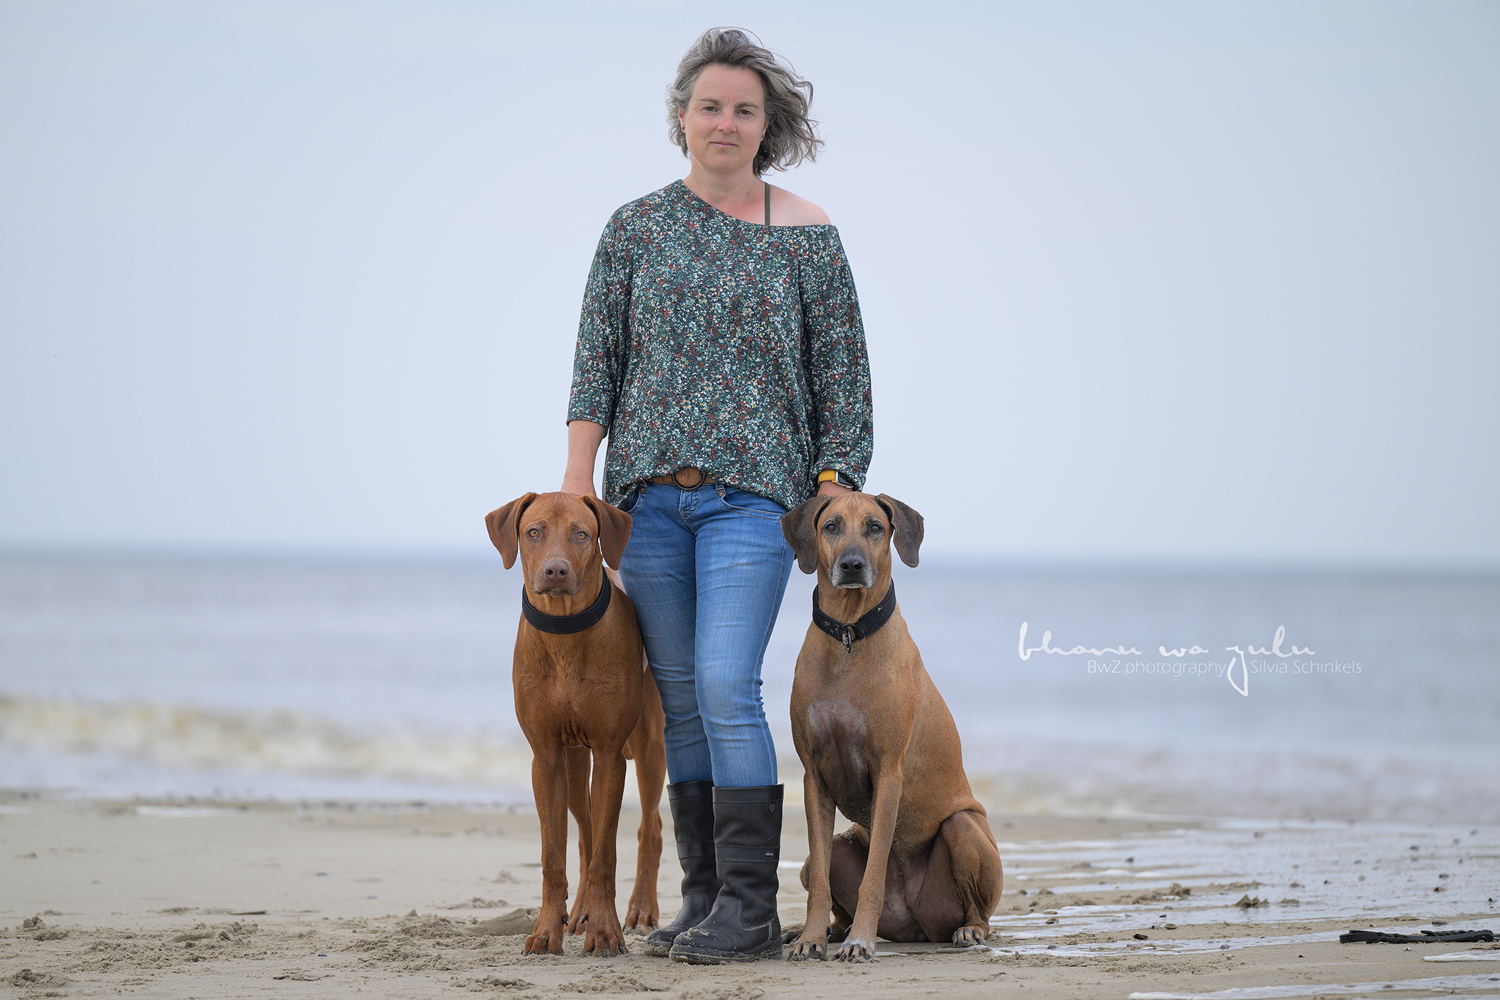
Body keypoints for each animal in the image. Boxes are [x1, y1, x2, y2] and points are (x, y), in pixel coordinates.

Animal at [486, 491, 669, 953]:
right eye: (533, 532)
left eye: (581, 534)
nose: (556, 570)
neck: (566, 633)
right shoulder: (547, 756)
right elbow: (555, 856)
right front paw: (546, 930)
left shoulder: (609, 754)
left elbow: (607, 855)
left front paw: (606, 932)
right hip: (573, 762)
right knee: (584, 835)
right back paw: (581, 910)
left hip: (649, 745)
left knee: (651, 827)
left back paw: (641, 910)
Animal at [780, 491, 1002, 959]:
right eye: (831, 526)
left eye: (875, 527)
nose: (852, 565)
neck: (849, 636)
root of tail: (916, 927)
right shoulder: (813, 776)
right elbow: (821, 879)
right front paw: (810, 937)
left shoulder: (888, 772)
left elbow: (876, 870)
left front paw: (861, 940)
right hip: (837, 846)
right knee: (824, 875)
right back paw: (823, 930)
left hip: (963, 828)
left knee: (981, 913)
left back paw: (968, 930)